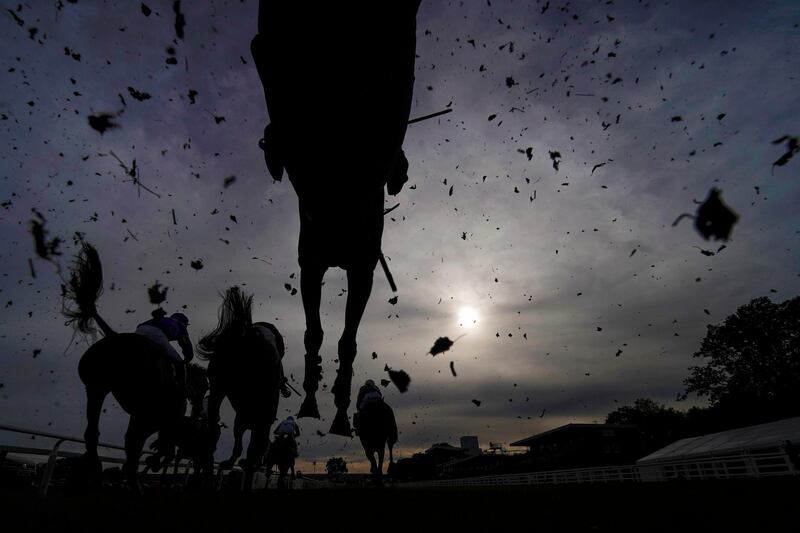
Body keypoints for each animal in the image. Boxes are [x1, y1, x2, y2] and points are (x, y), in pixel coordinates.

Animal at [65, 242, 203, 490]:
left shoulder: (142, 417)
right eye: (205, 387)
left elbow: (135, 445)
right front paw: (147, 468)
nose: (198, 410)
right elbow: (148, 446)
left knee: (92, 432)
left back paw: (91, 470)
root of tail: (114, 337)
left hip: (96, 387)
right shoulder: (155, 419)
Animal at [253, 1, 422, 436]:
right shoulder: (311, 266)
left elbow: (347, 340)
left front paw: (342, 409)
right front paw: (312, 397)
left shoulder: (360, 271)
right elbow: (314, 332)